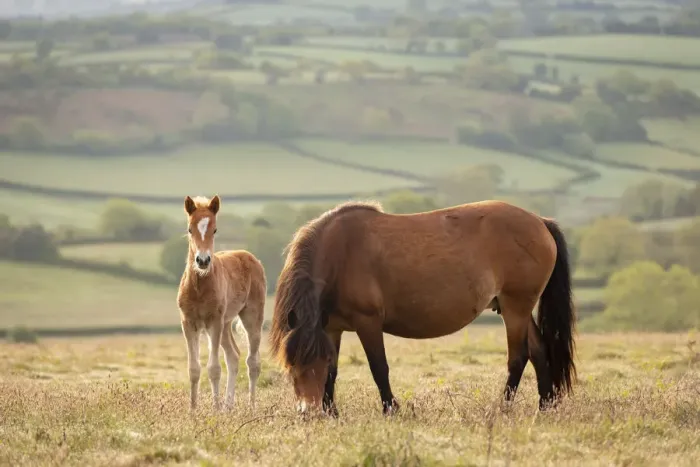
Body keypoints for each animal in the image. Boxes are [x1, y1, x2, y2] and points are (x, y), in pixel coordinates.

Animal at [177, 195, 267, 412]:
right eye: (189, 229)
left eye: (215, 229)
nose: (202, 261)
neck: (199, 288)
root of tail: (251, 257)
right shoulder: (188, 323)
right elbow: (194, 368)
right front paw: (193, 410)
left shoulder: (214, 322)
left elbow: (214, 368)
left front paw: (215, 409)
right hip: (226, 324)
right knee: (233, 356)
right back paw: (229, 405)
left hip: (251, 317)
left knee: (253, 362)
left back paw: (251, 406)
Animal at [269, 199, 576, 416]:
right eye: (291, 364)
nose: (308, 412)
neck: (340, 253)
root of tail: (540, 222)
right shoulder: (332, 328)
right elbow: (333, 372)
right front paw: (333, 413)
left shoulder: (368, 322)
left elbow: (378, 367)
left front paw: (391, 410)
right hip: (517, 310)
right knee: (539, 351)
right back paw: (545, 407)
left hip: (516, 308)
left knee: (519, 357)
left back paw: (502, 407)